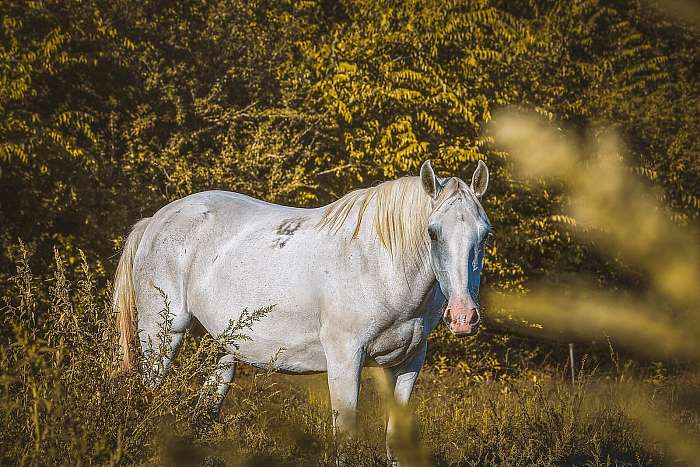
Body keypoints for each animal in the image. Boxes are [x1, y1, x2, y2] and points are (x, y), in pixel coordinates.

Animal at [112, 159, 490, 462]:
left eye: (484, 235)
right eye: (433, 233)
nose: (462, 316)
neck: (382, 265)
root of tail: (157, 220)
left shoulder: (406, 361)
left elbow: (395, 442)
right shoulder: (345, 358)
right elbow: (346, 439)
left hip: (223, 349)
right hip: (162, 336)